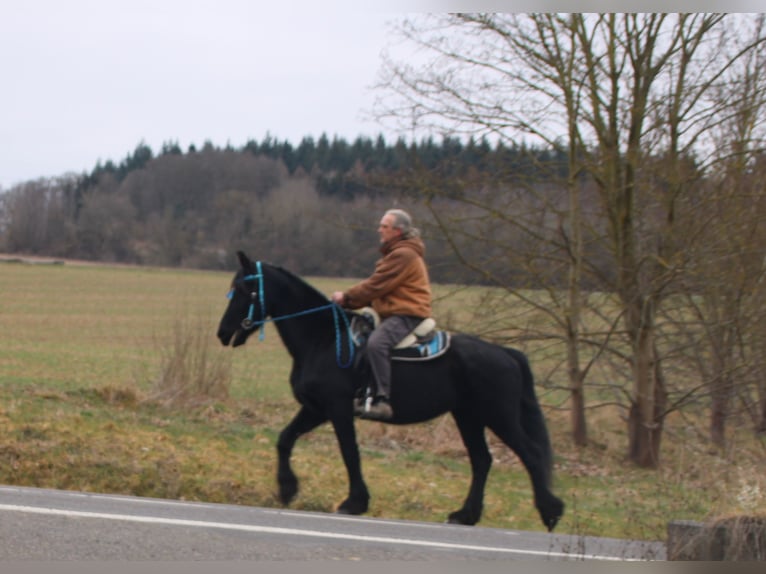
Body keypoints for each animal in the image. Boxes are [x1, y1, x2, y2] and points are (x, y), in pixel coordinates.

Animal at [216, 254, 564, 532]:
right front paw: (287, 489)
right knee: (482, 461)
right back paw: (465, 515)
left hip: (498, 416)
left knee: (530, 455)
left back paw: (550, 512)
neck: (324, 339)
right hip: (469, 416)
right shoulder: (315, 409)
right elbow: (285, 439)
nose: (223, 333)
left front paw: (354, 502)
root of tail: (506, 354)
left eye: (247, 289)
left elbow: (350, 452)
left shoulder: (337, 408)